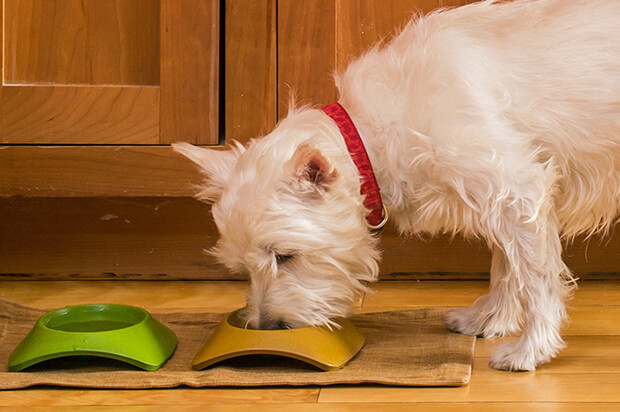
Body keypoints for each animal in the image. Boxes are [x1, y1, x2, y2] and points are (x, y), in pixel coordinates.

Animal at [173, 0, 620, 374]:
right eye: (241, 268)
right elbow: (506, 265)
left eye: (285, 256)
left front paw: (531, 349)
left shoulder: (517, 190)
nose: (268, 327)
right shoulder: (503, 198)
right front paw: (490, 318)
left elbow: (535, 278)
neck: (374, 131)